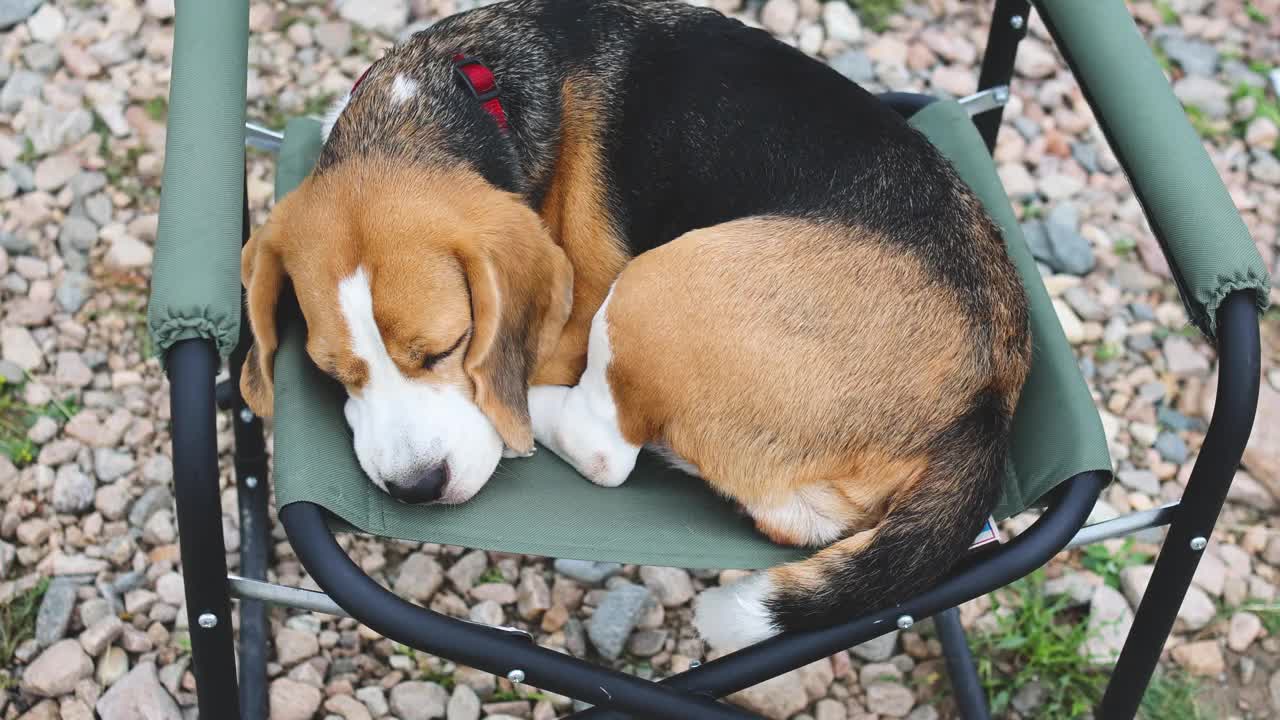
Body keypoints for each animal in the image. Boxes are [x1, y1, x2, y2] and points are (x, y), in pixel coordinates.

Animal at [241, 0, 1029, 648]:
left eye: (449, 348)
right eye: (332, 372)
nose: (416, 488)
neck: (450, 95)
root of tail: (991, 391)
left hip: (658, 283)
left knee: (603, 449)